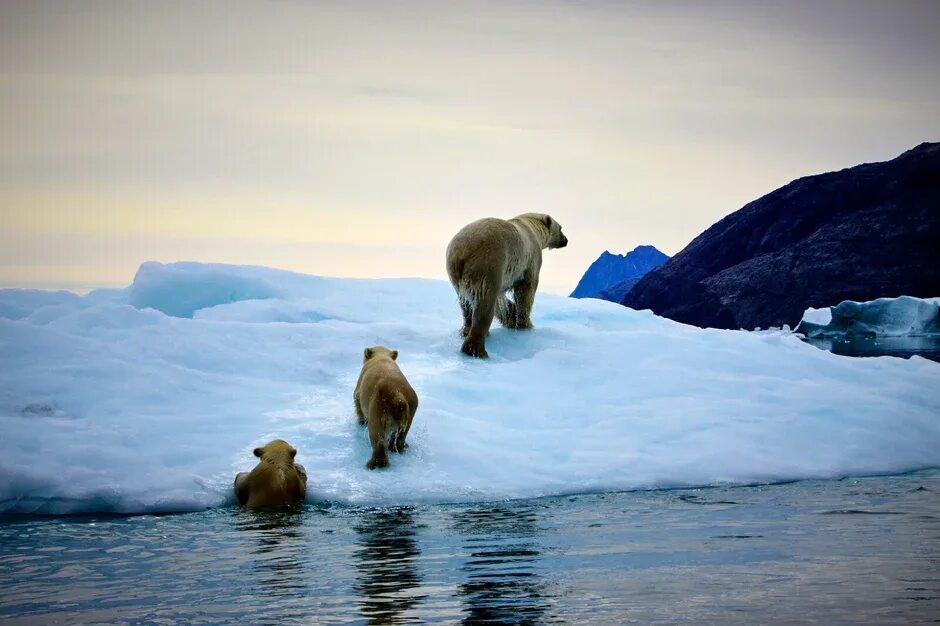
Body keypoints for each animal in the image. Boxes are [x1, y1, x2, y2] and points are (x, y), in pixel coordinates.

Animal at [446, 212, 568, 356]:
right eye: (561, 228)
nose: (566, 240)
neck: (533, 228)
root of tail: (462, 252)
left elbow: (501, 301)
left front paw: (511, 317)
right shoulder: (530, 259)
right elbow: (526, 290)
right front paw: (524, 324)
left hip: (456, 275)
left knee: (466, 304)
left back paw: (466, 331)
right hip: (487, 264)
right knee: (484, 304)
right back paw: (476, 348)